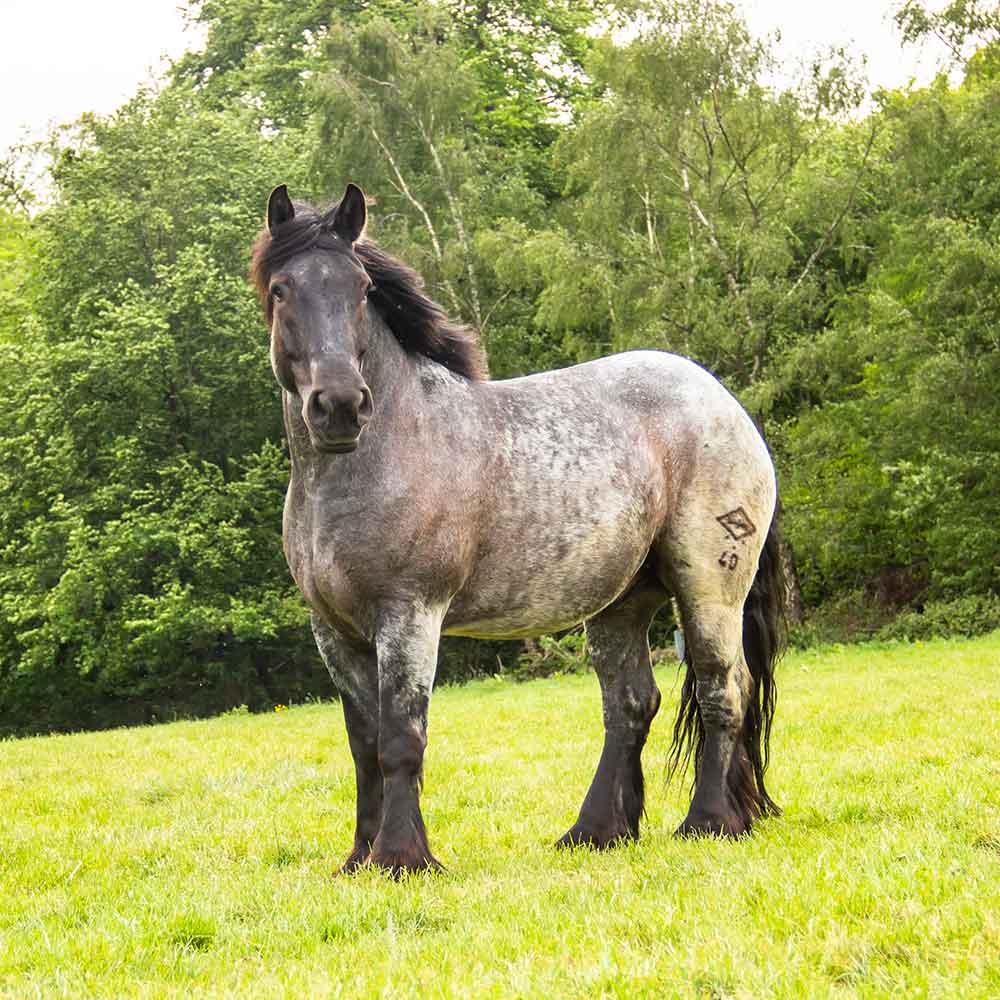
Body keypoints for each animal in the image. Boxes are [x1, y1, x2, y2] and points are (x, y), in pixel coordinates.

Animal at [248, 182, 780, 876]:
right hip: (620, 601)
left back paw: (710, 822)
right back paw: (595, 831)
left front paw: (402, 858)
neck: (383, 452)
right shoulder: (334, 632)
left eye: (362, 288)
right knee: (630, 706)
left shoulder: (410, 615)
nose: (339, 405)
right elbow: (363, 746)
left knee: (723, 690)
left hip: (710, 589)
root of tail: (725, 401)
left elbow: (400, 739)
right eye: (282, 289)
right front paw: (360, 857)